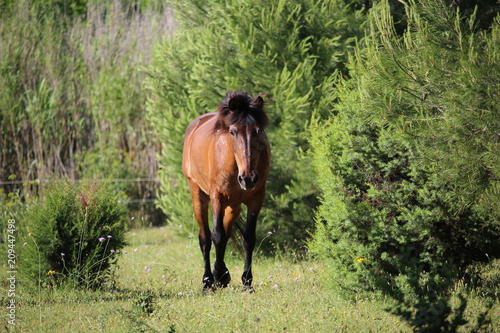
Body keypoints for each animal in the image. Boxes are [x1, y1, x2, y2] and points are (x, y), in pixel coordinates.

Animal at [183, 91, 272, 290]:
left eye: (259, 131)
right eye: (232, 131)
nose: (248, 178)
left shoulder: (256, 199)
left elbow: (248, 238)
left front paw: (247, 283)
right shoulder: (217, 197)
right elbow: (217, 236)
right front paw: (215, 277)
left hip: (234, 205)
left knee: (226, 231)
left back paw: (221, 275)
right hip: (198, 194)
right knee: (205, 238)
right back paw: (208, 280)